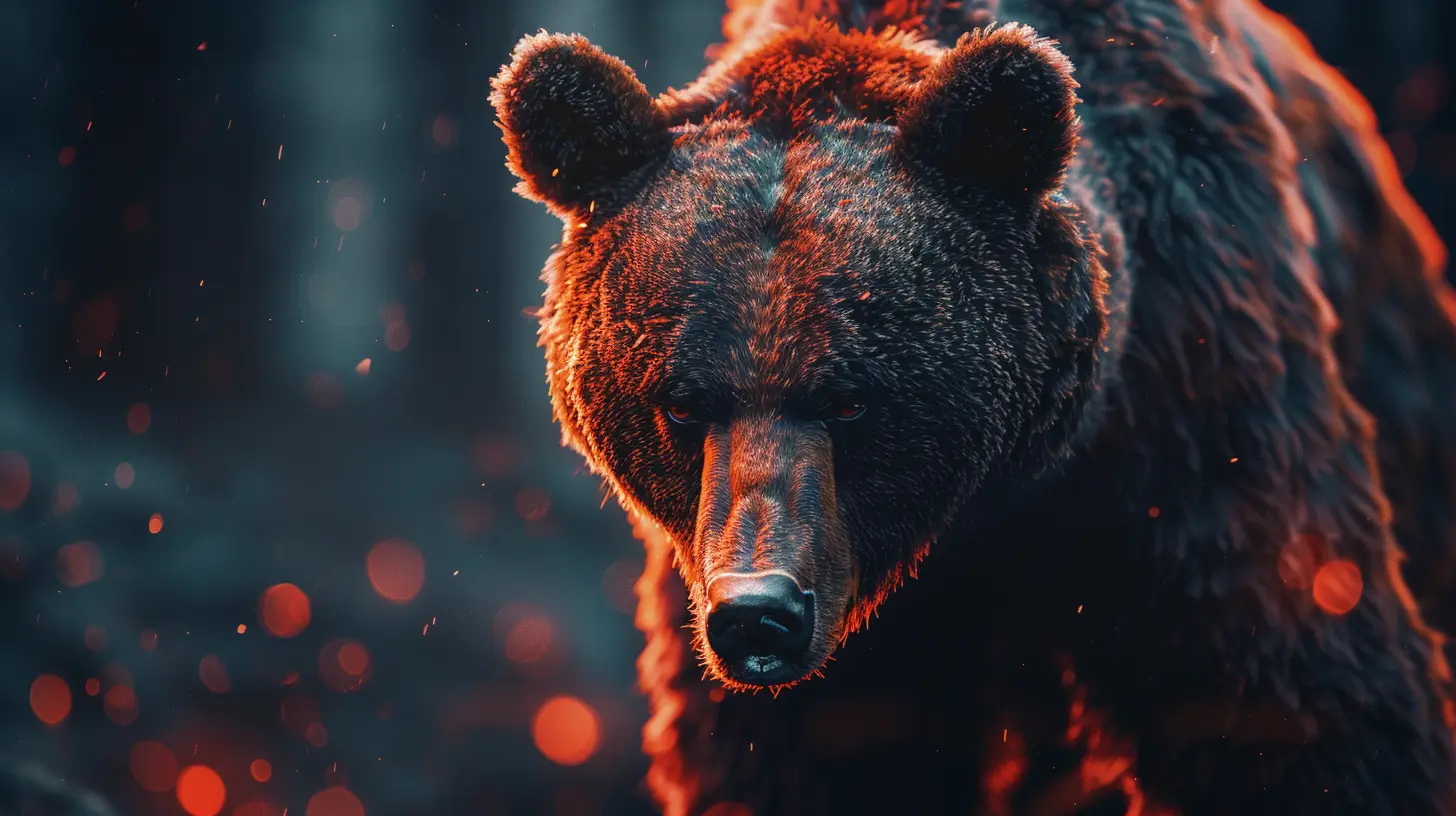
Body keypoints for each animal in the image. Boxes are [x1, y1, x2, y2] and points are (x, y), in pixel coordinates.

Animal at [490, 0, 1456, 814]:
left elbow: (1283, 689)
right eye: (682, 403)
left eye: (850, 398)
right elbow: (799, 758)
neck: (987, 506)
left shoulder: (1192, 412)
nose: (759, 610)